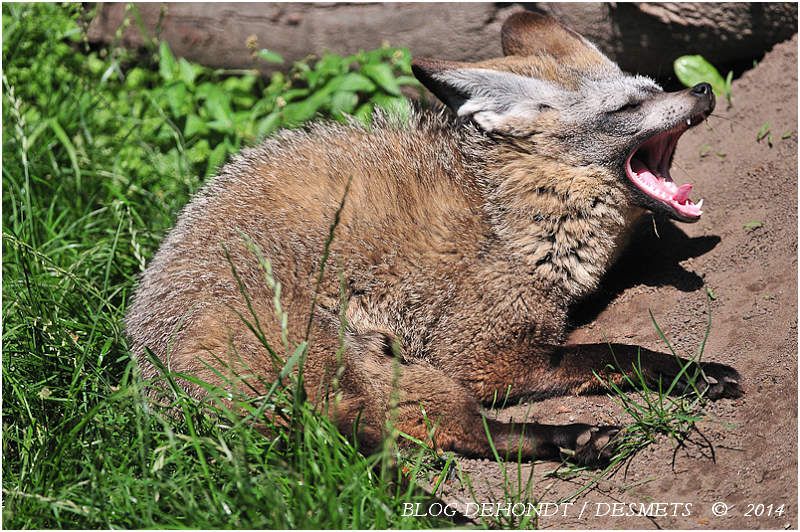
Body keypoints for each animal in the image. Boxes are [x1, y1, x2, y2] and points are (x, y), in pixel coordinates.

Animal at [126, 10, 744, 464]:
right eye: (630, 106)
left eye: (653, 86)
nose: (704, 87)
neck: (513, 213)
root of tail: (149, 374)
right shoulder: (484, 356)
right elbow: (615, 353)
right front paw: (691, 371)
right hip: (349, 372)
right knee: (372, 453)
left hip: (397, 373)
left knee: (427, 439)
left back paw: (566, 443)